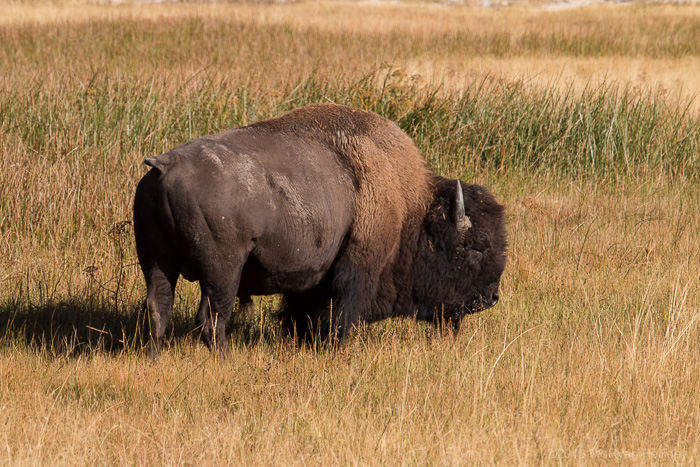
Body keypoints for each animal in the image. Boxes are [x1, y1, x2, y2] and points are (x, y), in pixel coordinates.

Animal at [134, 104, 506, 354]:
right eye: (475, 247)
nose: (491, 297)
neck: (408, 205)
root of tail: (166, 165)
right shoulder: (357, 270)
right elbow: (340, 310)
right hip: (223, 269)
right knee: (212, 317)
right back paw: (223, 358)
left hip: (155, 260)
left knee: (159, 306)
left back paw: (155, 357)